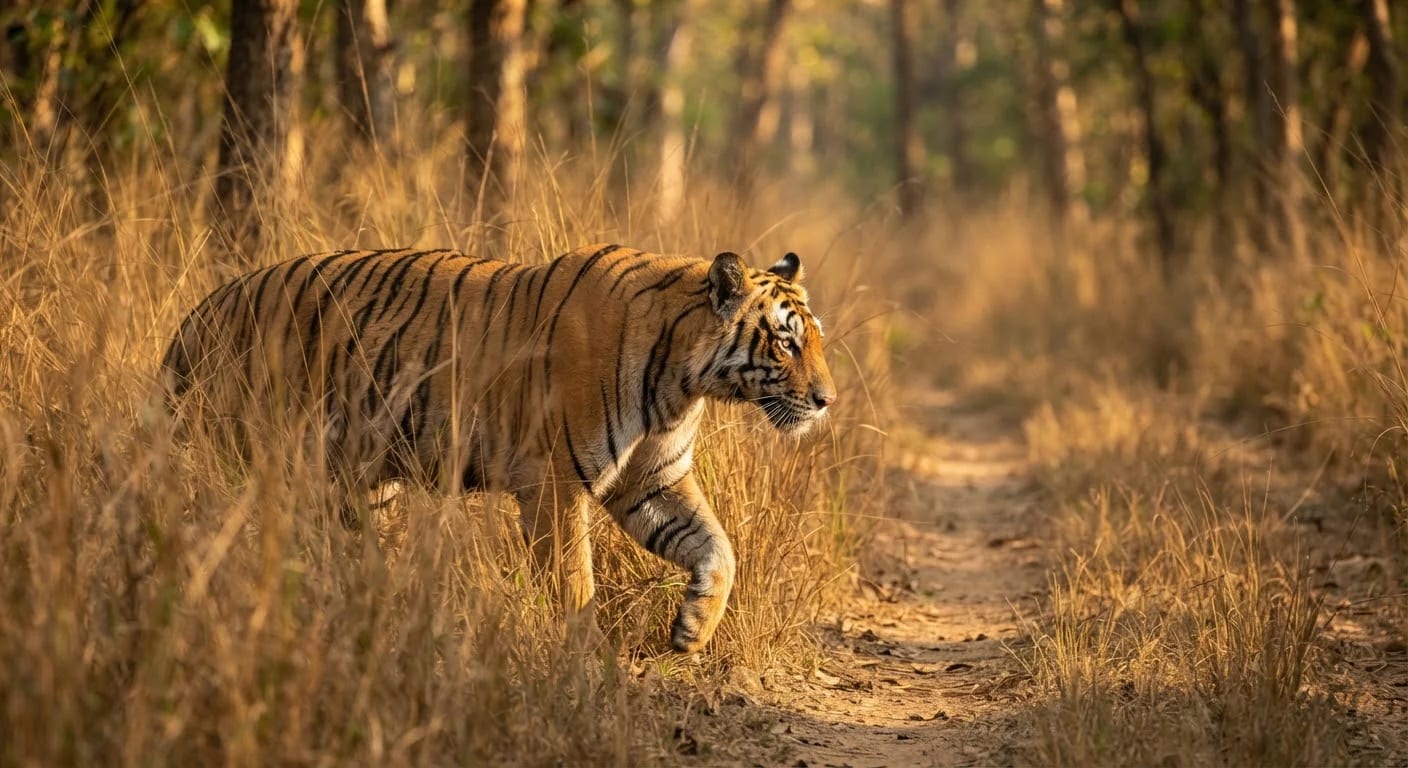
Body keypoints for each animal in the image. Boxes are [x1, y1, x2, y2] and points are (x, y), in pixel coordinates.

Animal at [161, 243, 836, 652]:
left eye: (816, 340)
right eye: (786, 341)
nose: (828, 400)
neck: (682, 381)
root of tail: (195, 318)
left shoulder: (653, 480)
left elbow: (719, 549)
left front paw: (693, 630)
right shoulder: (557, 484)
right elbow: (574, 581)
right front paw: (584, 663)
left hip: (363, 485)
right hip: (254, 454)